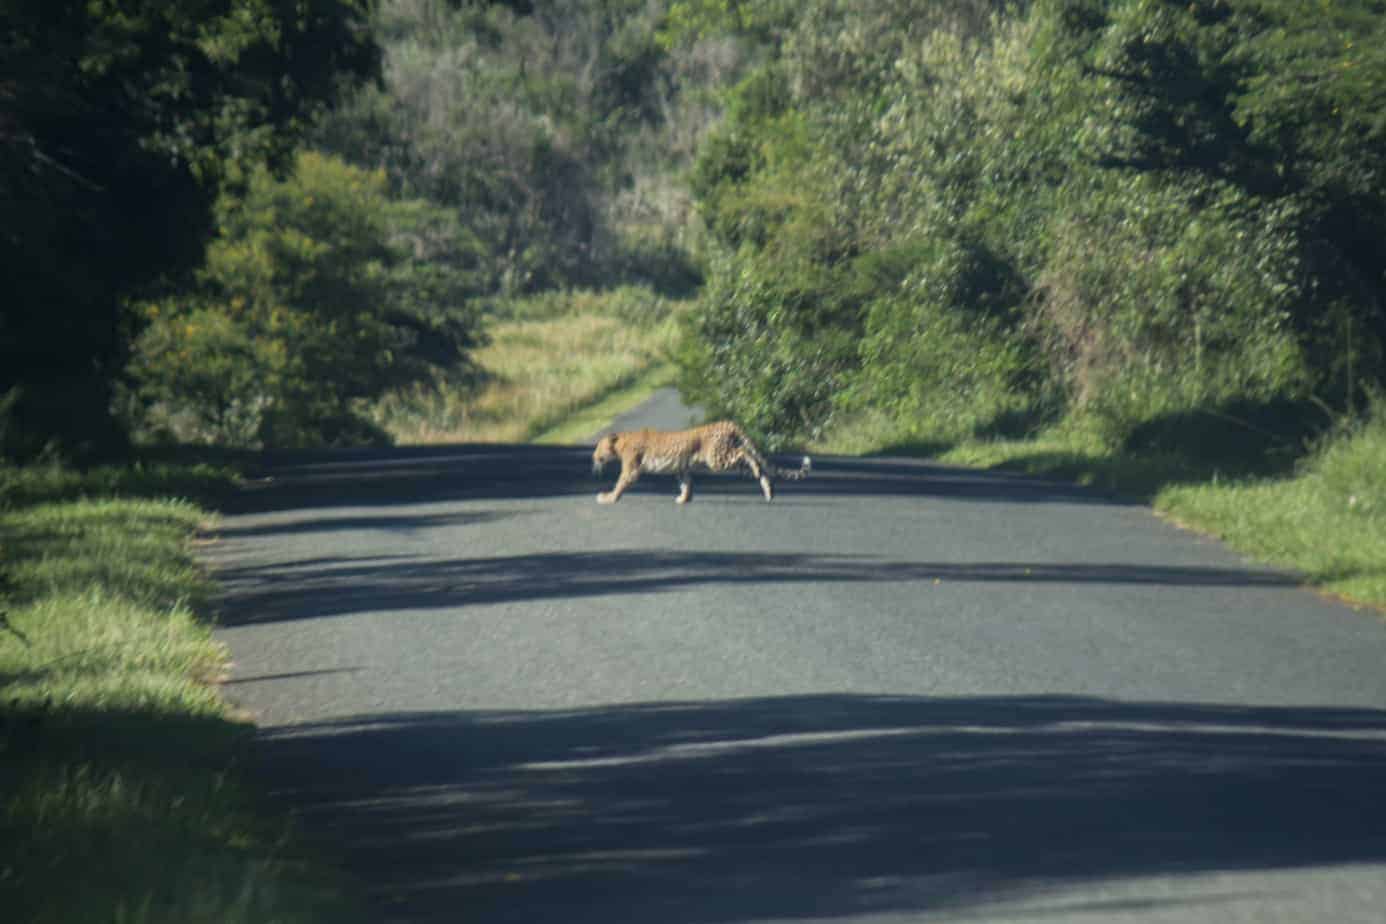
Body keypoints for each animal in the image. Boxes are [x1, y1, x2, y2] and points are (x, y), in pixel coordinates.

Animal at [591, 420, 811, 504]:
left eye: (598, 448)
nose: (593, 457)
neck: (621, 442)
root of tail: (728, 422)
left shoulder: (632, 470)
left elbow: (620, 483)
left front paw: (608, 497)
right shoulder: (682, 467)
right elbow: (686, 484)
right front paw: (684, 499)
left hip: (717, 458)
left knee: (745, 455)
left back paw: (763, 480)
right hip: (725, 457)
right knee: (756, 463)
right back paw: (769, 490)